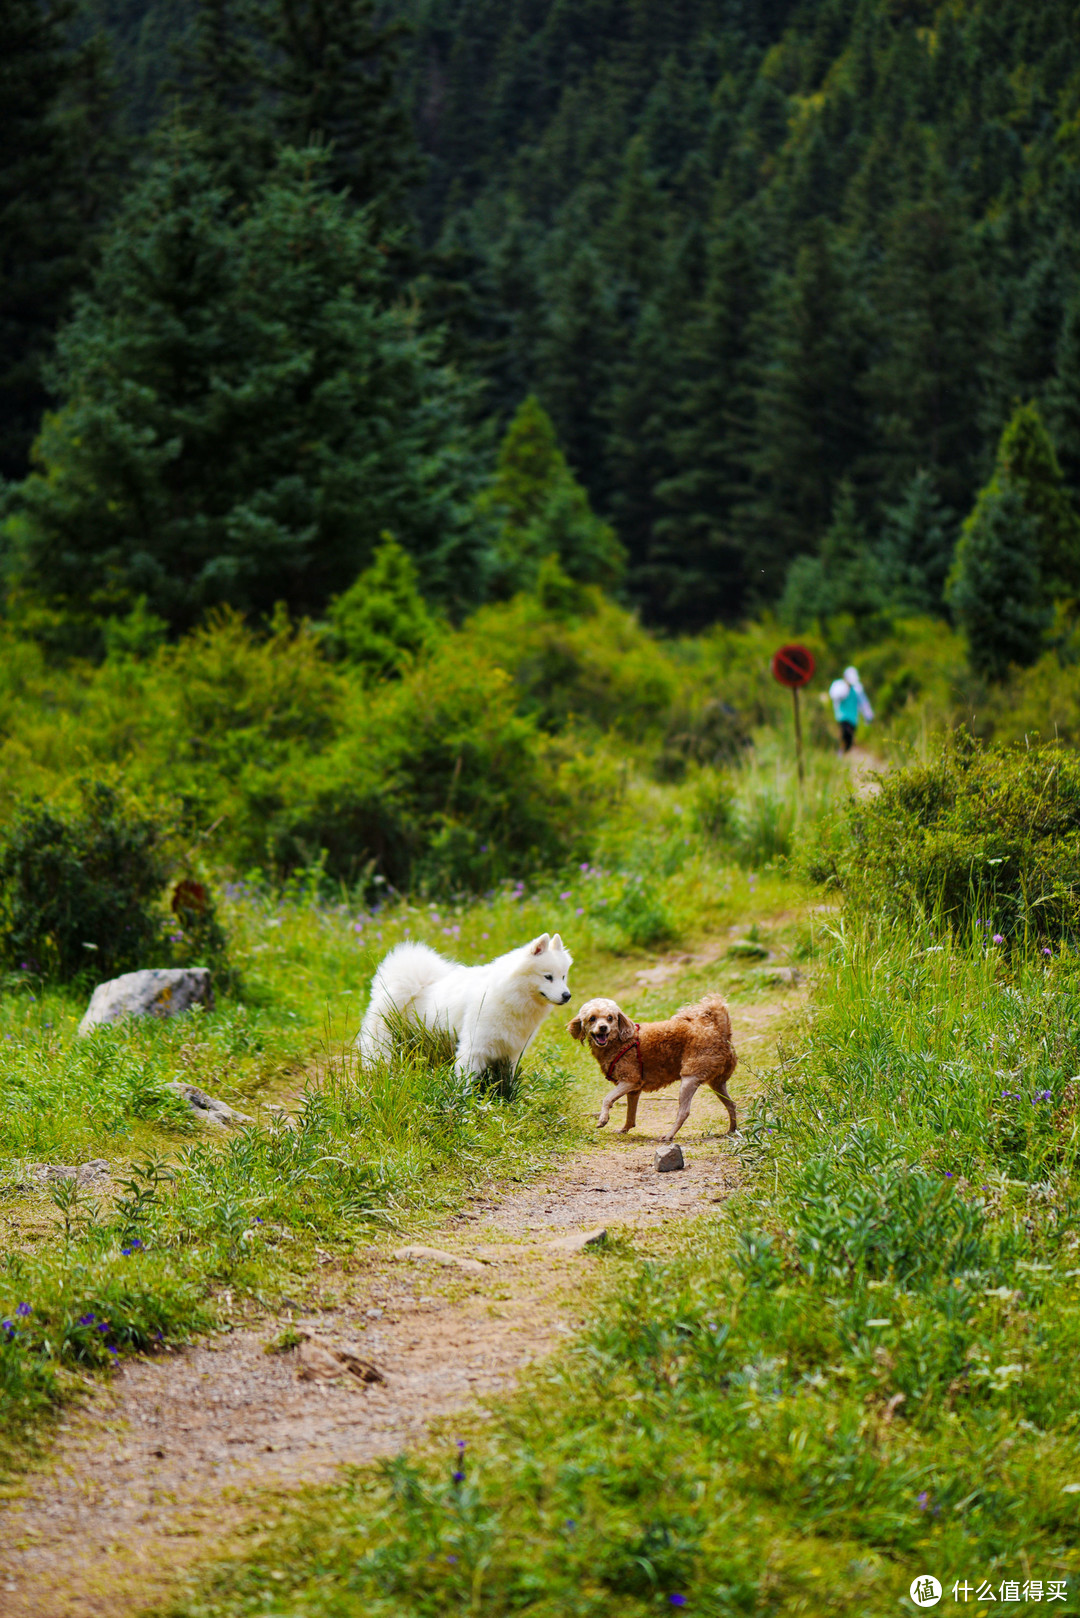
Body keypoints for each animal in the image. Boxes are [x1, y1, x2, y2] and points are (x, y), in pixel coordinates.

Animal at [359, 931, 573, 1080]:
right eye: (548, 977)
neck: (510, 995)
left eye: (563, 976)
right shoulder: (474, 1047)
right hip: (385, 1045)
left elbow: (507, 1082)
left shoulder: (511, 1052)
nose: (567, 995)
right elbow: (465, 1082)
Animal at [566, 990, 735, 1145]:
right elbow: (630, 1114)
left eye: (610, 1018)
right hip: (717, 1082)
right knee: (731, 1104)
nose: (603, 1028)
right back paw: (732, 1130)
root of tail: (720, 1031)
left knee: (684, 1112)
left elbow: (607, 1098)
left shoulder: (630, 1080)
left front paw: (603, 1119)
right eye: (592, 1018)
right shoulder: (634, 1089)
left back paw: (669, 1135)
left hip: (690, 1077)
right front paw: (624, 1129)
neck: (621, 1042)